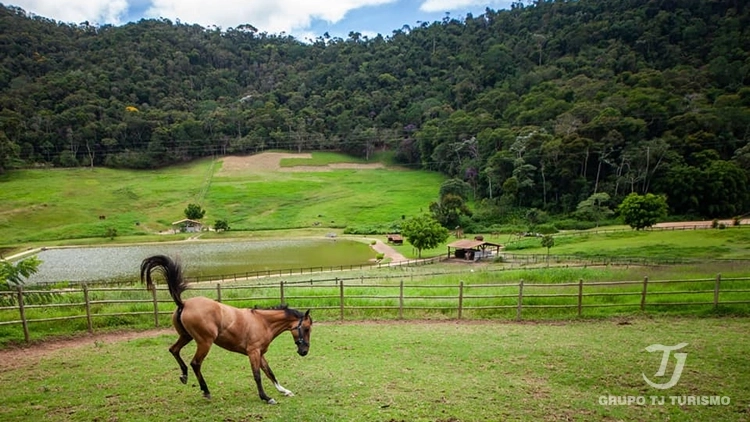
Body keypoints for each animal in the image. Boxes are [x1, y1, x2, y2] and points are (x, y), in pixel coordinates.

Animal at [140, 256, 312, 404]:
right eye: (306, 328)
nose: (304, 351)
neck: (262, 322)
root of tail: (184, 303)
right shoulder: (253, 352)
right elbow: (257, 375)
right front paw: (266, 397)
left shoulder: (260, 353)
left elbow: (269, 372)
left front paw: (285, 391)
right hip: (205, 342)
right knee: (195, 363)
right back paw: (206, 391)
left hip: (186, 336)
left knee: (174, 350)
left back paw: (184, 375)